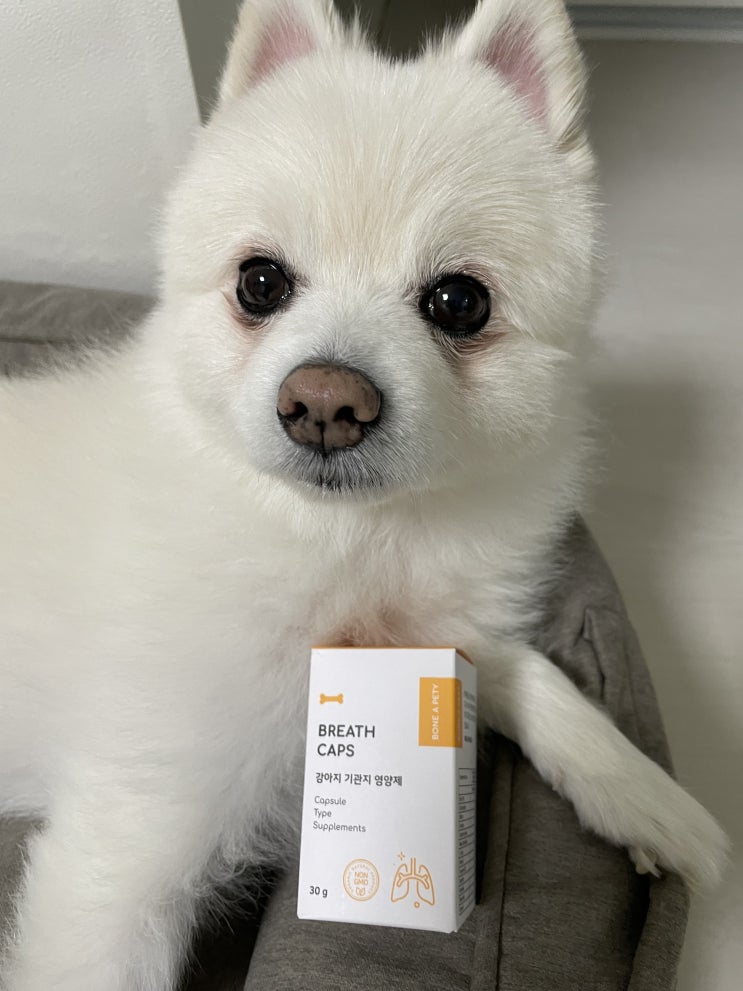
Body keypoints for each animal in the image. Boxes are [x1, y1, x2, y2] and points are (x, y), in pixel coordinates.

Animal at [0, 0, 728, 987]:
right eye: (259, 282)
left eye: (458, 301)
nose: (323, 403)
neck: (352, 541)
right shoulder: (128, 839)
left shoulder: (440, 639)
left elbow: (523, 667)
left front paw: (643, 791)